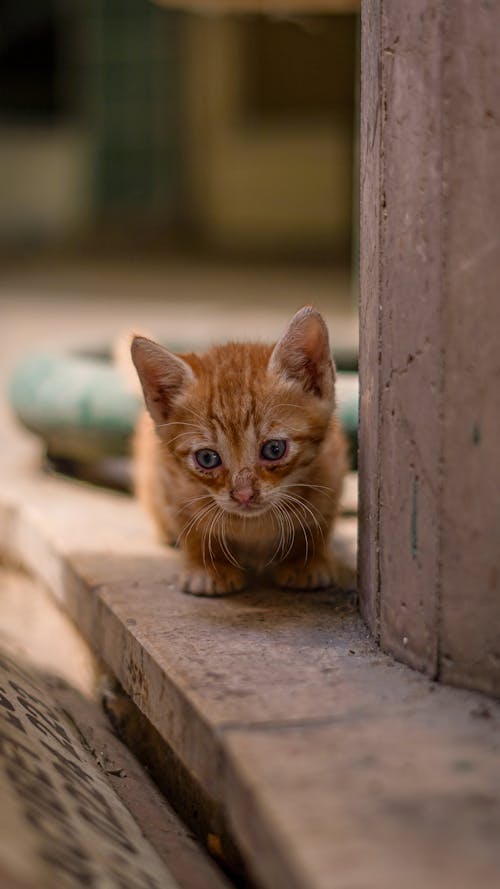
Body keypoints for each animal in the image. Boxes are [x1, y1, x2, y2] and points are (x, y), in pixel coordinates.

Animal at [133, 306, 352, 596]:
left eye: (274, 449)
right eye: (207, 458)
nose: (244, 495)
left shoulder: (333, 468)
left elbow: (319, 521)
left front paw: (305, 561)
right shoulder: (172, 480)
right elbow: (192, 524)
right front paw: (209, 566)